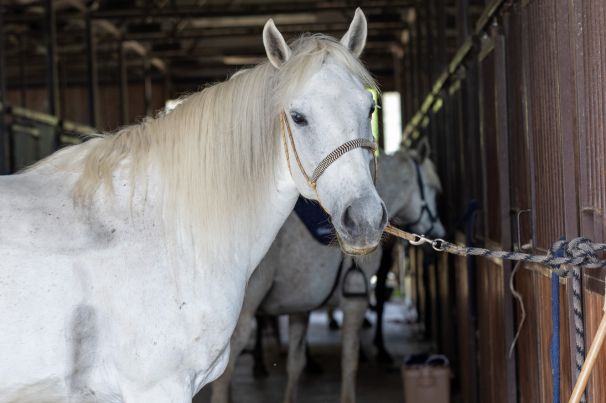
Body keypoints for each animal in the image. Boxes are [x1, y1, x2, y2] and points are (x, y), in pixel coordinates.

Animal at [210, 145, 446, 403]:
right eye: (433, 190)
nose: (439, 233)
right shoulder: (355, 304)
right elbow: (350, 363)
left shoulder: (300, 307)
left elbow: (296, 363)